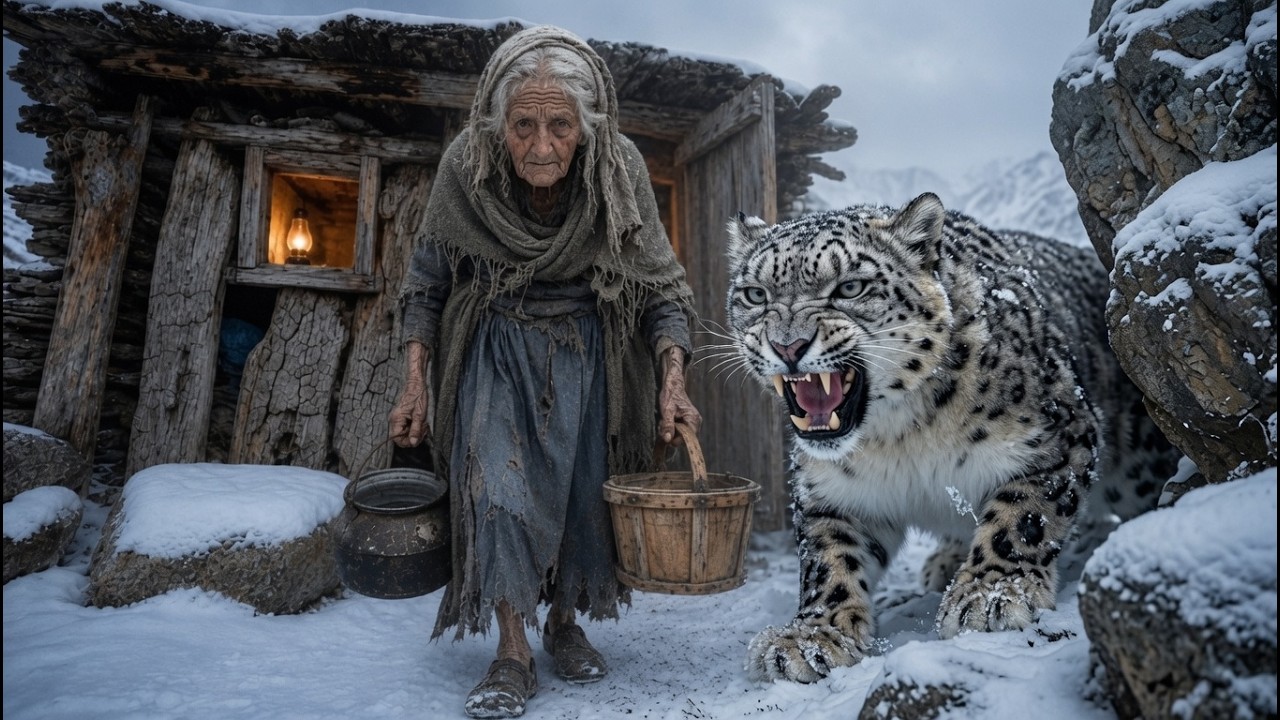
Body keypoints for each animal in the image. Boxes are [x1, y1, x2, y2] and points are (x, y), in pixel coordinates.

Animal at [723, 192, 1177, 683]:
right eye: (756, 294)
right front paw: (811, 637)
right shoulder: (832, 491)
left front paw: (991, 594)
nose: (787, 346)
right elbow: (830, 558)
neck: (898, 437)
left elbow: (1022, 514)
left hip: (1138, 464)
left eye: (850, 288)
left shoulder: (1058, 434)